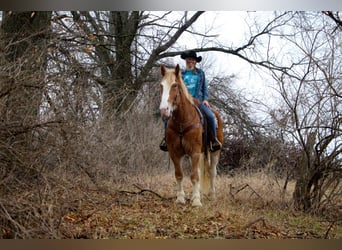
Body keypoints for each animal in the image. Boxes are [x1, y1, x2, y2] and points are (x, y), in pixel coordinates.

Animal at [158, 64, 223, 207]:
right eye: (161, 85)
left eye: (175, 85)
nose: (164, 110)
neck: (183, 121)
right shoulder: (174, 152)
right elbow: (179, 175)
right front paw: (180, 198)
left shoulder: (195, 152)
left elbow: (194, 176)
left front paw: (197, 201)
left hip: (215, 152)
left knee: (212, 172)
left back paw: (212, 194)